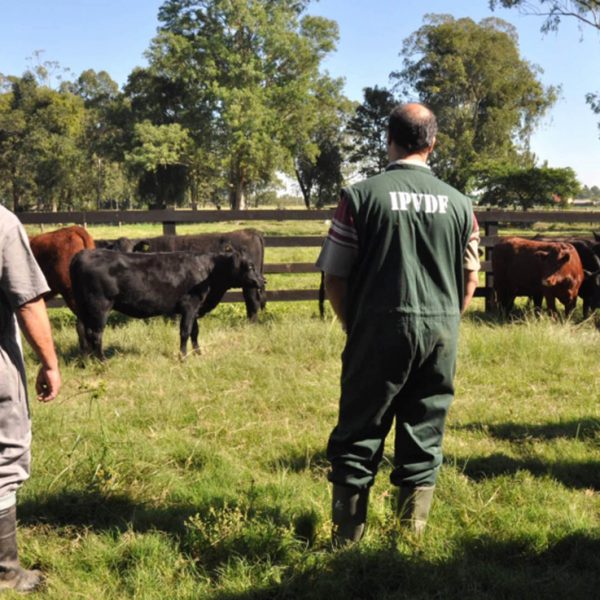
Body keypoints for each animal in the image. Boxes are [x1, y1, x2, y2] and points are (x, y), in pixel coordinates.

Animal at [69, 246, 264, 358]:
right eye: (250, 266)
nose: (264, 281)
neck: (209, 271)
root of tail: (82, 254)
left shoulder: (195, 309)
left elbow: (195, 332)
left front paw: (198, 353)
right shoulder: (190, 305)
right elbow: (185, 331)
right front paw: (183, 357)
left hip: (83, 307)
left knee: (82, 330)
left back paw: (87, 361)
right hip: (100, 306)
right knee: (95, 334)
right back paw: (102, 362)